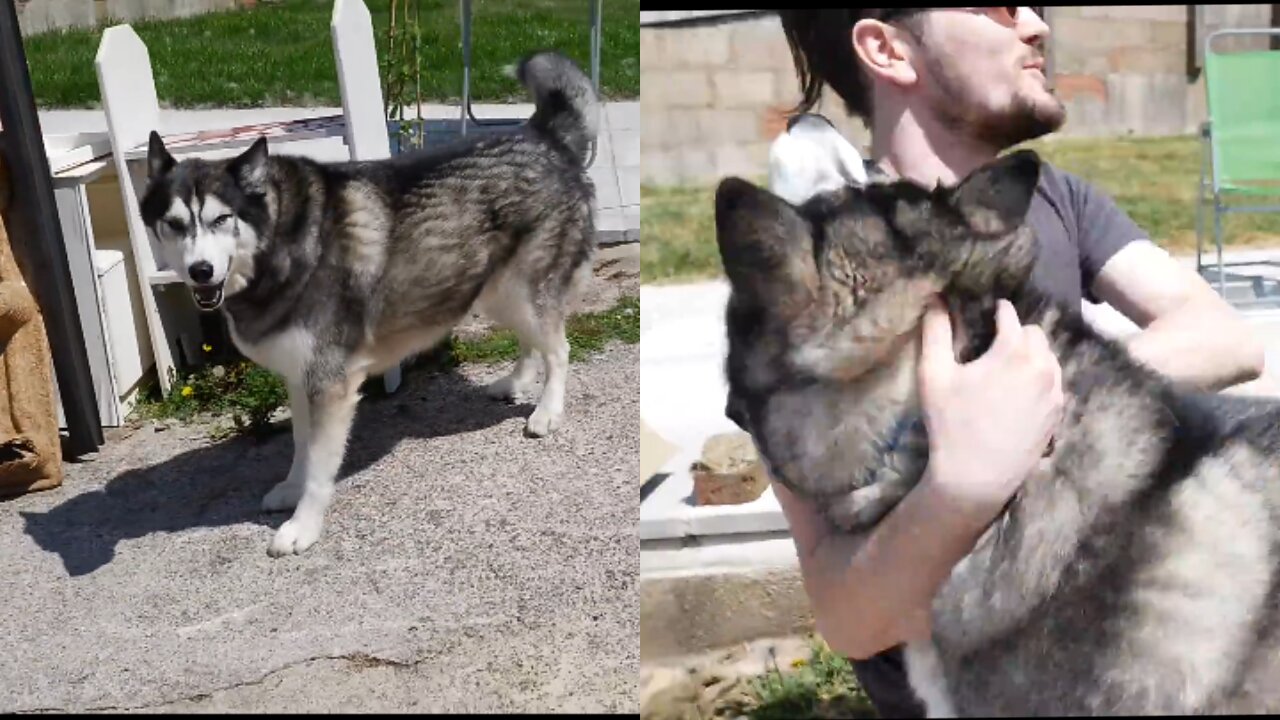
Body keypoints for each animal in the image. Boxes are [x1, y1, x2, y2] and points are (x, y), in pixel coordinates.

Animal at [140, 51, 599, 556]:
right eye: (174, 224)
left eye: (222, 219)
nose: (201, 271)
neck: (283, 241)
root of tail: (542, 135)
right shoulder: (299, 377)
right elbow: (300, 447)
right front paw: (290, 488)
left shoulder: (330, 383)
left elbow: (320, 466)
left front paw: (304, 525)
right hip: (496, 291)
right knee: (532, 341)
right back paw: (516, 382)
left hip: (521, 290)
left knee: (559, 348)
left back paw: (547, 411)